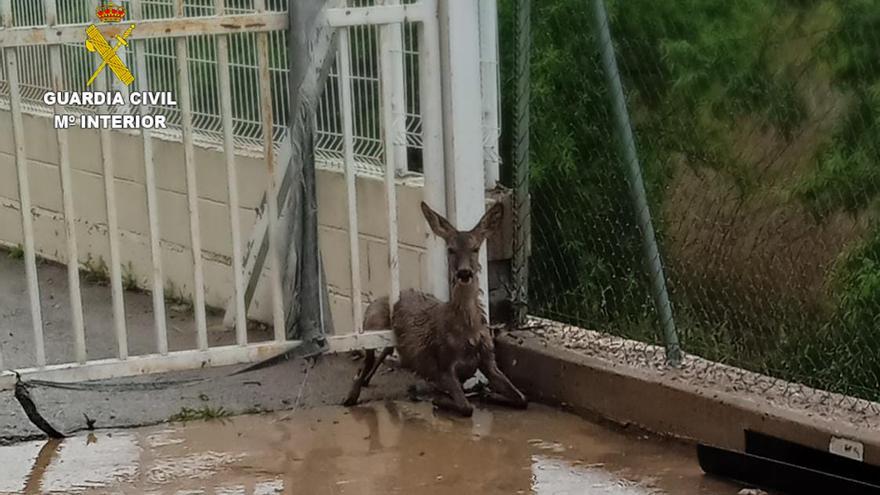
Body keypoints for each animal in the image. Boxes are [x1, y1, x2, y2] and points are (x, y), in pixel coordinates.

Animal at [340, 200, 524, 416]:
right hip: (372, 320)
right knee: (366, 359)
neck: (467, 330)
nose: (464, 272)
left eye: (475, 248)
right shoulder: (443, 365)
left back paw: (369, 382)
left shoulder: (488, 360)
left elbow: (522, 399)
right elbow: (466, 407)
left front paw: (487, 394)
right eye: (450, 249)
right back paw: (350, 396)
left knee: (385, 350)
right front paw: (436, 398)